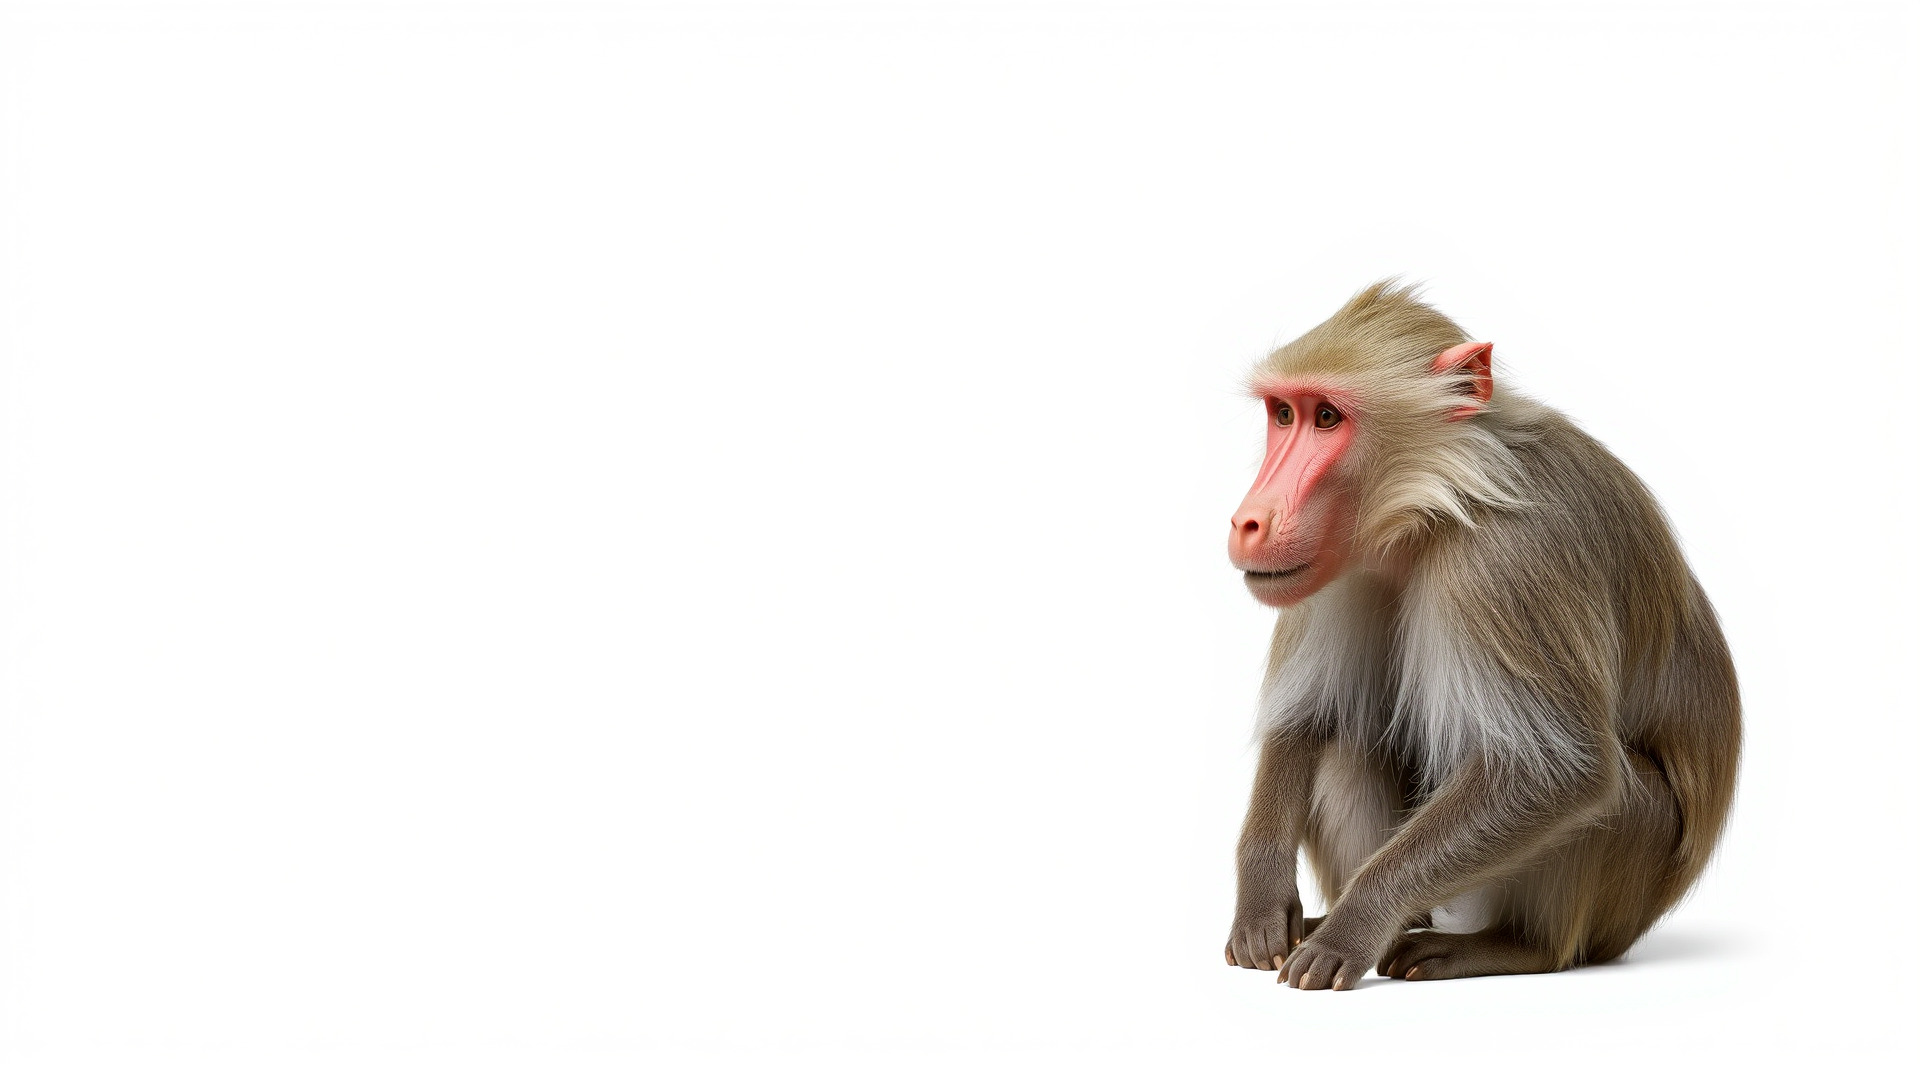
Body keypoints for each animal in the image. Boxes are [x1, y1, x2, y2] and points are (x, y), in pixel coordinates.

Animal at [1222, 282, 1739, 990]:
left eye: (1327, 417)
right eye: (1282, 413)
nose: (1248, 520)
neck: (1434, 502)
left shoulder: (1510, 558)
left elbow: (1556, 774)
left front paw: (1355, 922)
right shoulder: (1338, 561)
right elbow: (1306, 721)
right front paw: (1263, 894)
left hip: (1605, 911)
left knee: (1624, 801)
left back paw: (1511, 947)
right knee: (1344, 741)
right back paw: (1398, 925)